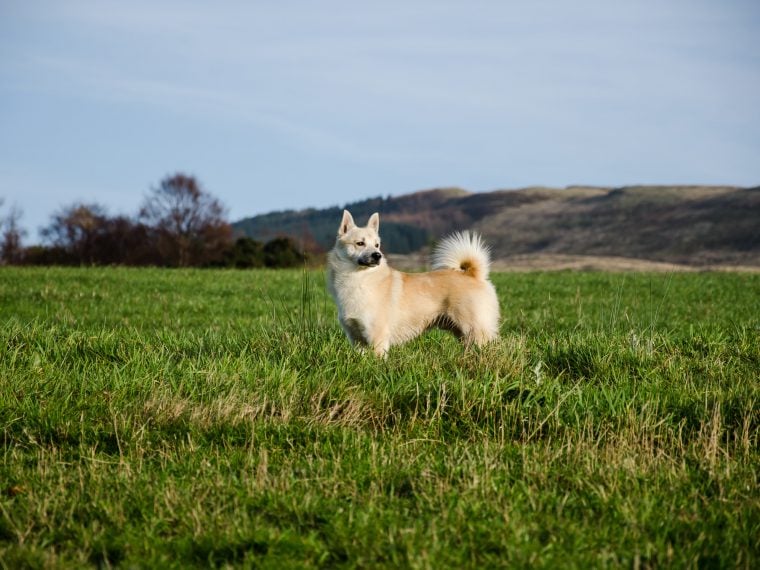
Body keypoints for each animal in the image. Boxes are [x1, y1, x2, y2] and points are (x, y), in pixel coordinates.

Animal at [326, 209, 498, 356]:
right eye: (360, 243)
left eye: (377, 245)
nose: (377, 255)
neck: (359, 278)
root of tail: (473, 275)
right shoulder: (356, 338)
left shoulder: (377, 337)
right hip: (462, 333)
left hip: (474, 329)